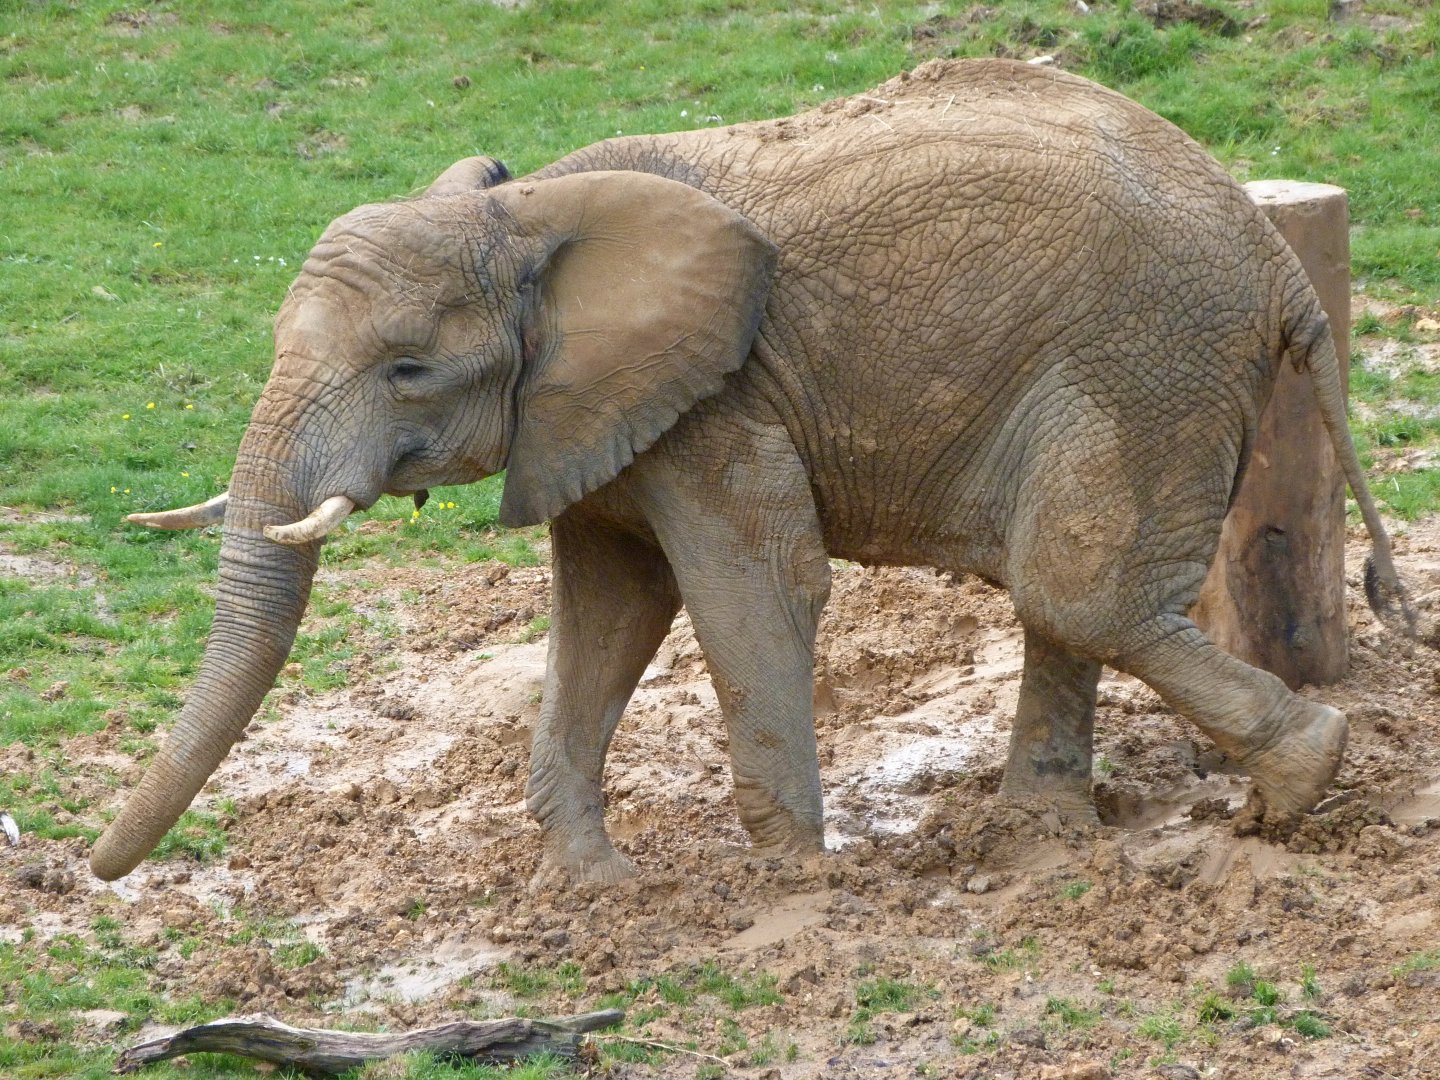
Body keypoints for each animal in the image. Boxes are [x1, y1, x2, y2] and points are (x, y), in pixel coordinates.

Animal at [90, 58, 1410, 884]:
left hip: (1147, 362)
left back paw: (1300, 781)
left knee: (1074, 590)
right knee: (1067, 592)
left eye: (407, 369)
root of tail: (1272, 246)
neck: (533, 216)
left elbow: (749, 585)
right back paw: (1039, 839)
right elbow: (610, 605)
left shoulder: (719, 396)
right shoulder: (596, 413)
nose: (93, 869)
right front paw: (594, 891)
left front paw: (790, 885)